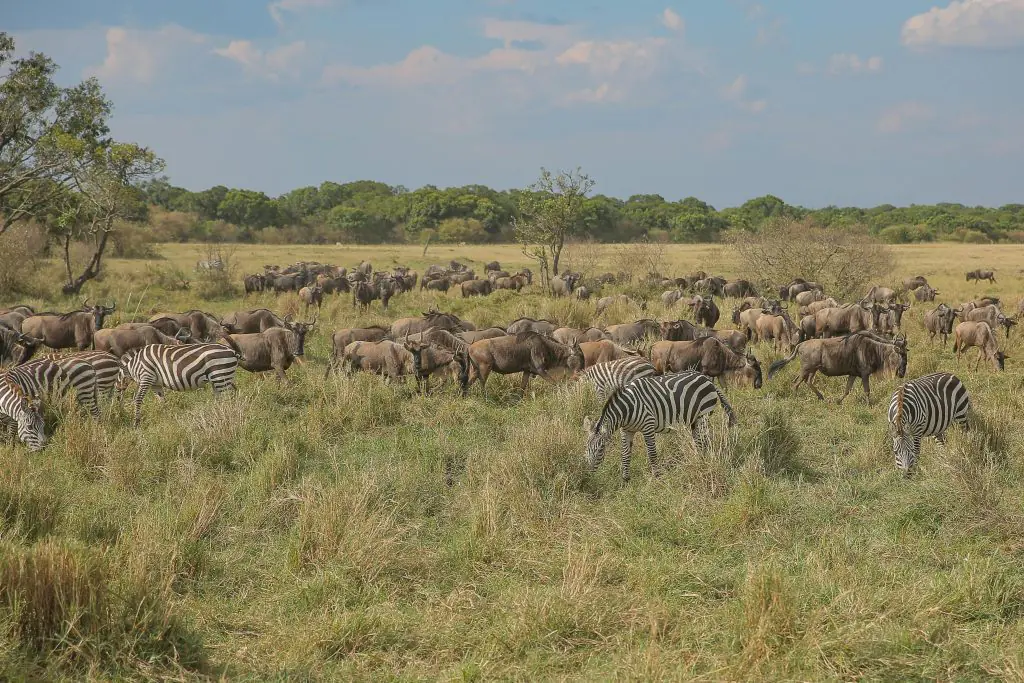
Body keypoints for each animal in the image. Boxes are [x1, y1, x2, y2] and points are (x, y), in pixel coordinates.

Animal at [583, 371, 737, 482]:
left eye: (600, 449)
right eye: (586, 448)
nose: (588, 475)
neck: (627, 410)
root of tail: (707, 379)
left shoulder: (648, 426)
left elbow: (652, 453)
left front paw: (657, 477)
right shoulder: (627, 430)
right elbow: (625, 454)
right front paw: (625, 480)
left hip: (703, 415)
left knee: (705, 440)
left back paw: (705, 461)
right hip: (694, 419)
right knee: (699, 441)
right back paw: (699, 460)